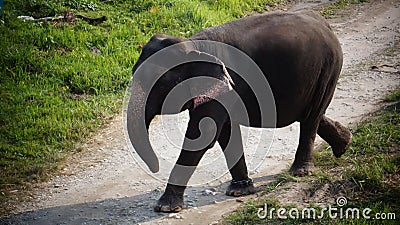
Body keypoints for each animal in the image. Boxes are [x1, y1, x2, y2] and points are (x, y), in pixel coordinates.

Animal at [126, 9, 352, 213]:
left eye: (162, 84)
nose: (155, 168)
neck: (193, 45)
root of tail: (324, 24)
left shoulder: (221, 86)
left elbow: (203, 136)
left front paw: (165, 207)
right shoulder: (222, 89)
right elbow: (225, 133)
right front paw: (239, 191)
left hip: (328, 68)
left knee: (311, 117)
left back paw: (301, 172)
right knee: (309, 114)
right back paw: (344, 143)